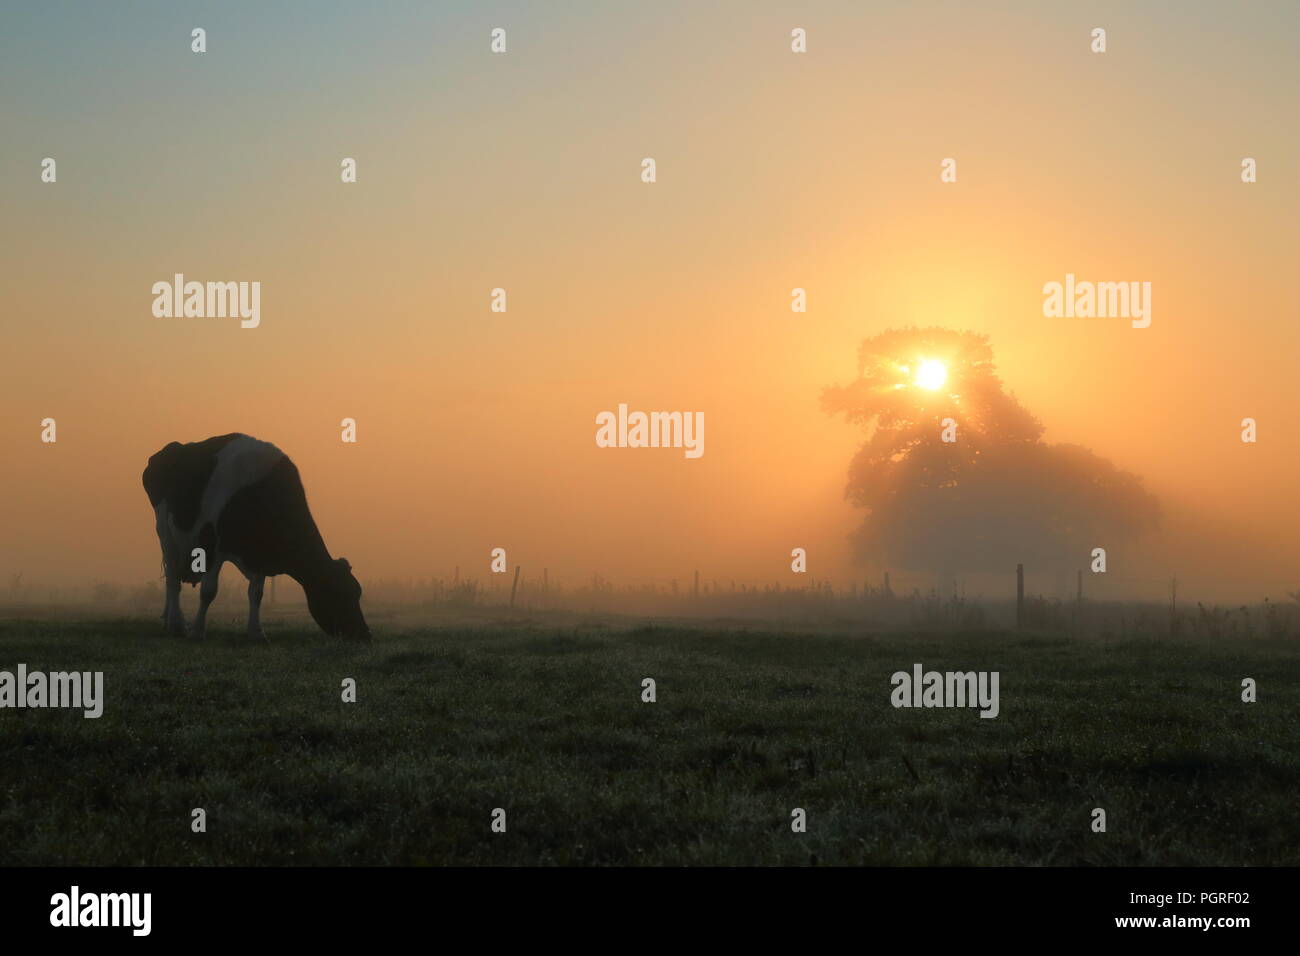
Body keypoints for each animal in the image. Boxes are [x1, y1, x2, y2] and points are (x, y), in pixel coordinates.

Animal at [142, 433, 370, 642]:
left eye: (357, 592)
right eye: (339, 593)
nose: (365, 633)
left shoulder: (261, 552)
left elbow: (256, 593)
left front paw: (256, 632)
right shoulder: (212, 545)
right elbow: (208, 591)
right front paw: (198, 631)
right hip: (164, 531)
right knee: (173, 578)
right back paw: (176, 624)